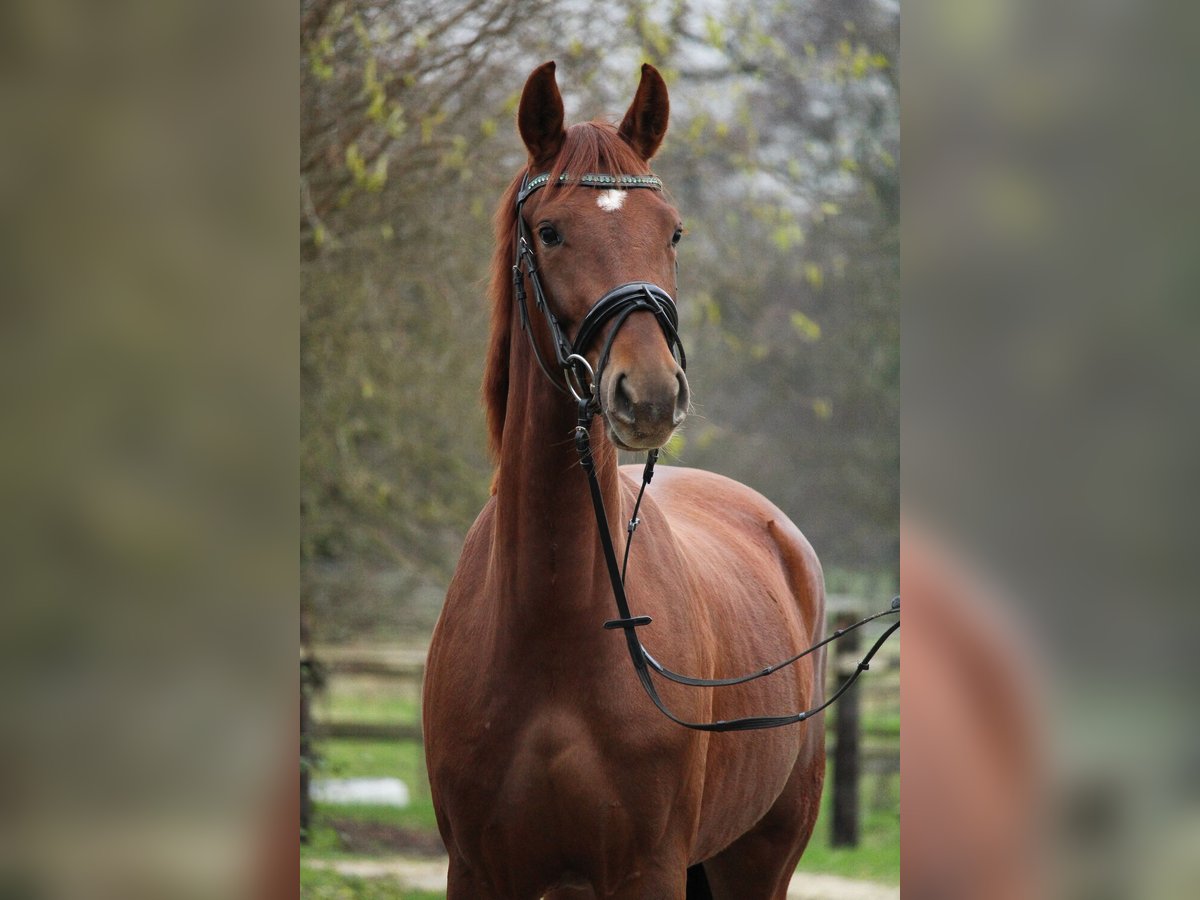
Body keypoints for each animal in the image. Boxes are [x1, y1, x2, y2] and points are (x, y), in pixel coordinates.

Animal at [422, 63, 825, 900]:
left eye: (672, 230)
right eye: (550, 231)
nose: (650, 395)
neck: (554, 628)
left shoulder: (650, 869)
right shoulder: (478, 871)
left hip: (761, 859)